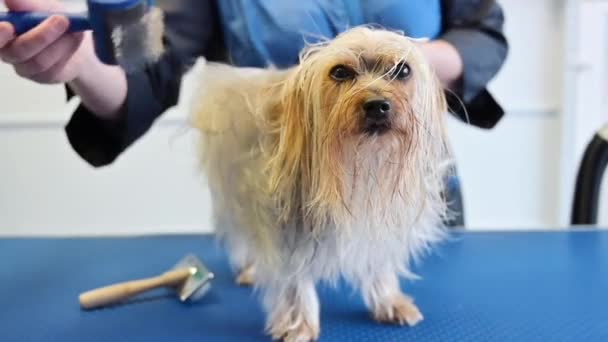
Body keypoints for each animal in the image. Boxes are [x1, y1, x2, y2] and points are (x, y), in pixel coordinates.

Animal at [190, 27, 452, 342]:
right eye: (339, 72)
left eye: (402, 70)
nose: (377, 105)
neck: (361, 162)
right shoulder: (285, 225)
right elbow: (293, 279)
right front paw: (298, 323)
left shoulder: (378, 218)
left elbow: (378, 262)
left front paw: (389, 301)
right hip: (235, 190)